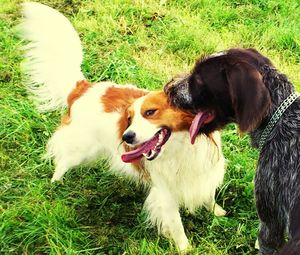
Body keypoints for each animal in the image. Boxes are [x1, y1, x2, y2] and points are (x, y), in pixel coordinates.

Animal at [20, 2, 225, 251]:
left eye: (150, 112)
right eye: (129, 119)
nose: (126, 137)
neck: (181, 148)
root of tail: (84, 87)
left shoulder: (205, 174)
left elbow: (209, 196)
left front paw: (217, 212)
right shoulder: (165, 194)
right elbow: (177, 228)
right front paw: (186, 249)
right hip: (79, 151)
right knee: (61, 161)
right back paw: (54, 186)